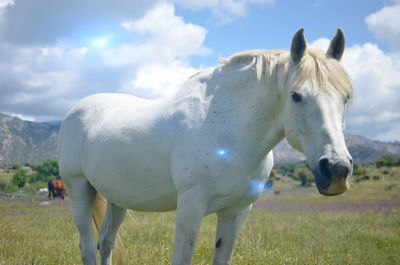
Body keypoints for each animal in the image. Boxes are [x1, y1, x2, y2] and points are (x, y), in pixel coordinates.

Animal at [57, 28, 354, 264]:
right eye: (296, 96)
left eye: (346, 98)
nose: (336, 170)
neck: (228, 130)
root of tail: (77, 110)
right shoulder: (191, 207)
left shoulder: (236, 213)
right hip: (78, 190)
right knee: (88, 247)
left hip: (118, 199)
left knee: (106, 241)